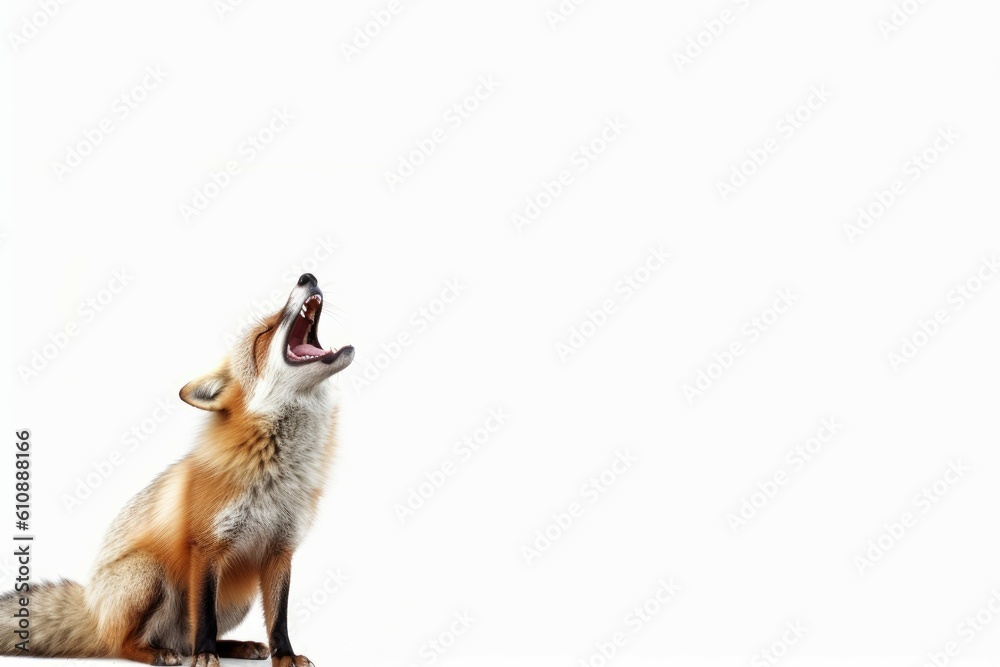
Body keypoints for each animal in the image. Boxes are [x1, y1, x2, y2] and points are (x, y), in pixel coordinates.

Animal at [0, 274, 354, 667]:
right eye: (265, 333)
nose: (307, 277)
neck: (276, 474)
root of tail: (92, 608)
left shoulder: (280, 550)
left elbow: (279, 617)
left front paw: (284, 655)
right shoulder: (206, 547)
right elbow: (205, 615)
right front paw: (205, 656)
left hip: (239, 598)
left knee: (186, 636)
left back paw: (235, 646)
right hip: (148, 574)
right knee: (123, 644)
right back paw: (161, 653)